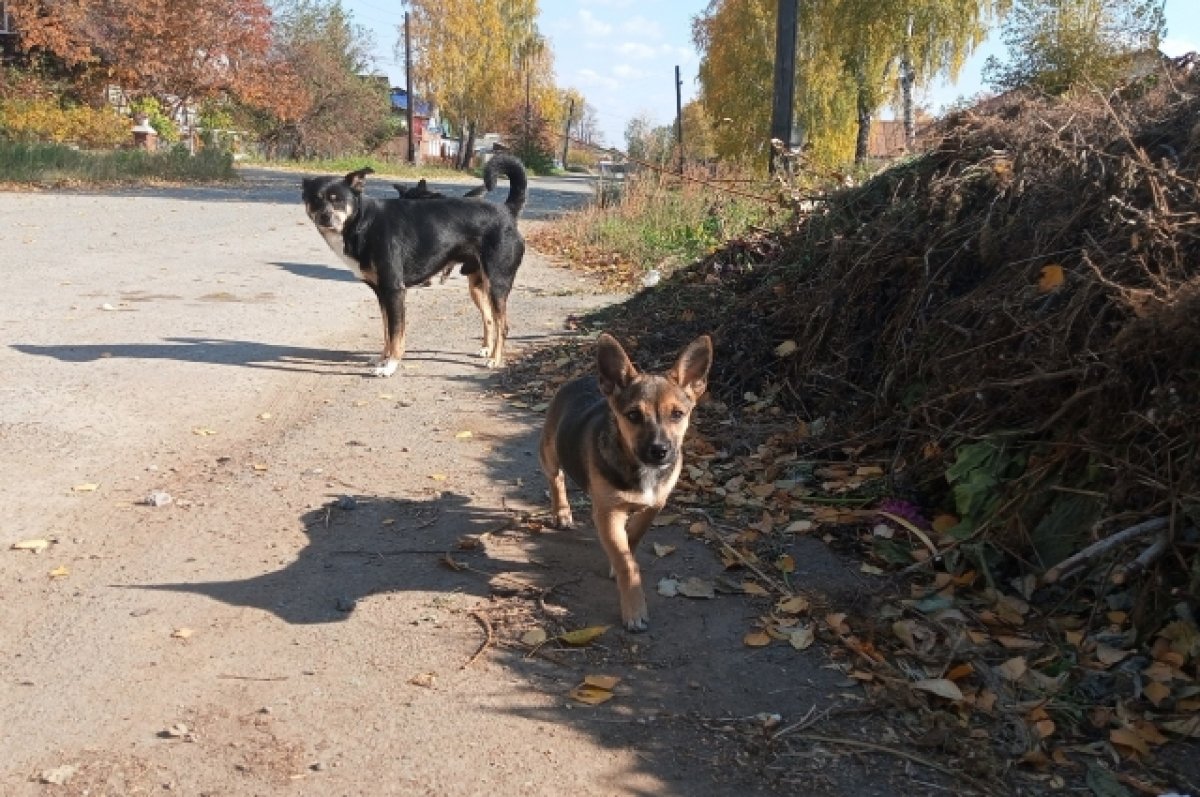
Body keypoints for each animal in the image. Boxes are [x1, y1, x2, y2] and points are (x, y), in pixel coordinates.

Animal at [300, 158, 525, 379]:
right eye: (316, 199)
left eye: (337, 199)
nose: (324, 217)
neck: (362, 222)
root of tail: (507, 211)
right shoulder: (382, 294)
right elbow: (387, 331)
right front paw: (382, 359)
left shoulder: (394, 291)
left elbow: (396, 334)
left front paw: (390, 366)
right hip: (477, 286)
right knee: (489, 318)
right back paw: (487, 349)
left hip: (497, 284)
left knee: (503, 325)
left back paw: (495, 359)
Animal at [542, 328, 710, 628]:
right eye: (633, 415)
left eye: (678, 414)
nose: (659, 450)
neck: (640, 468)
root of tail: (582, 379)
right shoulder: (608, 514)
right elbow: (627, 563)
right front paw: (634, 609)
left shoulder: (655, 504)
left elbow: (633, 536)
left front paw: (622, 552)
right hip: (550, 452)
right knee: (556, 478)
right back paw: (561, 512)